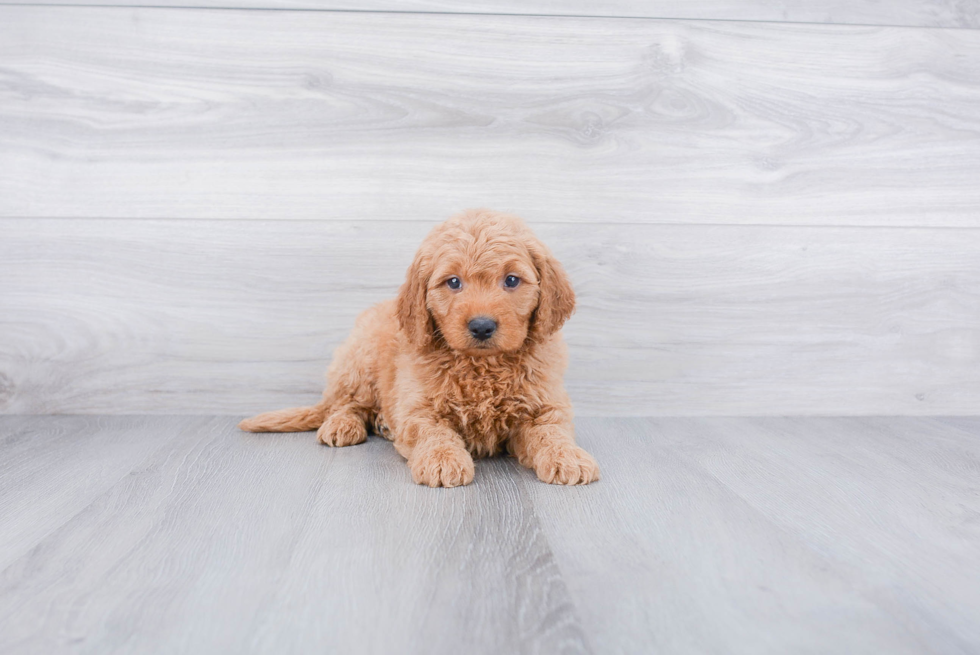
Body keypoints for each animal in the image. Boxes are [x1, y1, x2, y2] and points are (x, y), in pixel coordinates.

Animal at [241, 210, 600, 486]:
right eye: (453, 282)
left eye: (511, 280)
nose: (482, 326)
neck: (481, 367)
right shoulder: (419, 407)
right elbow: (434, 433)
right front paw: (442, 461)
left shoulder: (545, 405)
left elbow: (552, 432)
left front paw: (569, 457)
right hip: (359, 361)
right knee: (344, 404)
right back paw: (344, 425)